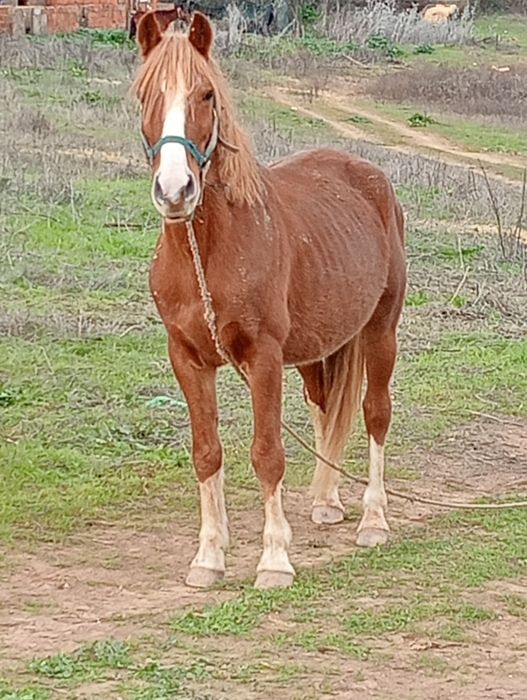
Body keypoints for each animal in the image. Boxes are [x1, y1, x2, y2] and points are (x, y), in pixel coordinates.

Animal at [131, 10, 406, 589]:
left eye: (206, 94)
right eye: (145, 94)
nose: (175, 190)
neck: (210, 252)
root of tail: (369, 177)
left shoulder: (263, 358)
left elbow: (268, 454)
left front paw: (275, 559)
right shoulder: (187, 359)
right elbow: (207, 453)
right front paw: (209, 556)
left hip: (381, 331)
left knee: (375, 413)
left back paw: (373, 520)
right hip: (319, 347)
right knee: (326, 408)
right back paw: (327, 501)